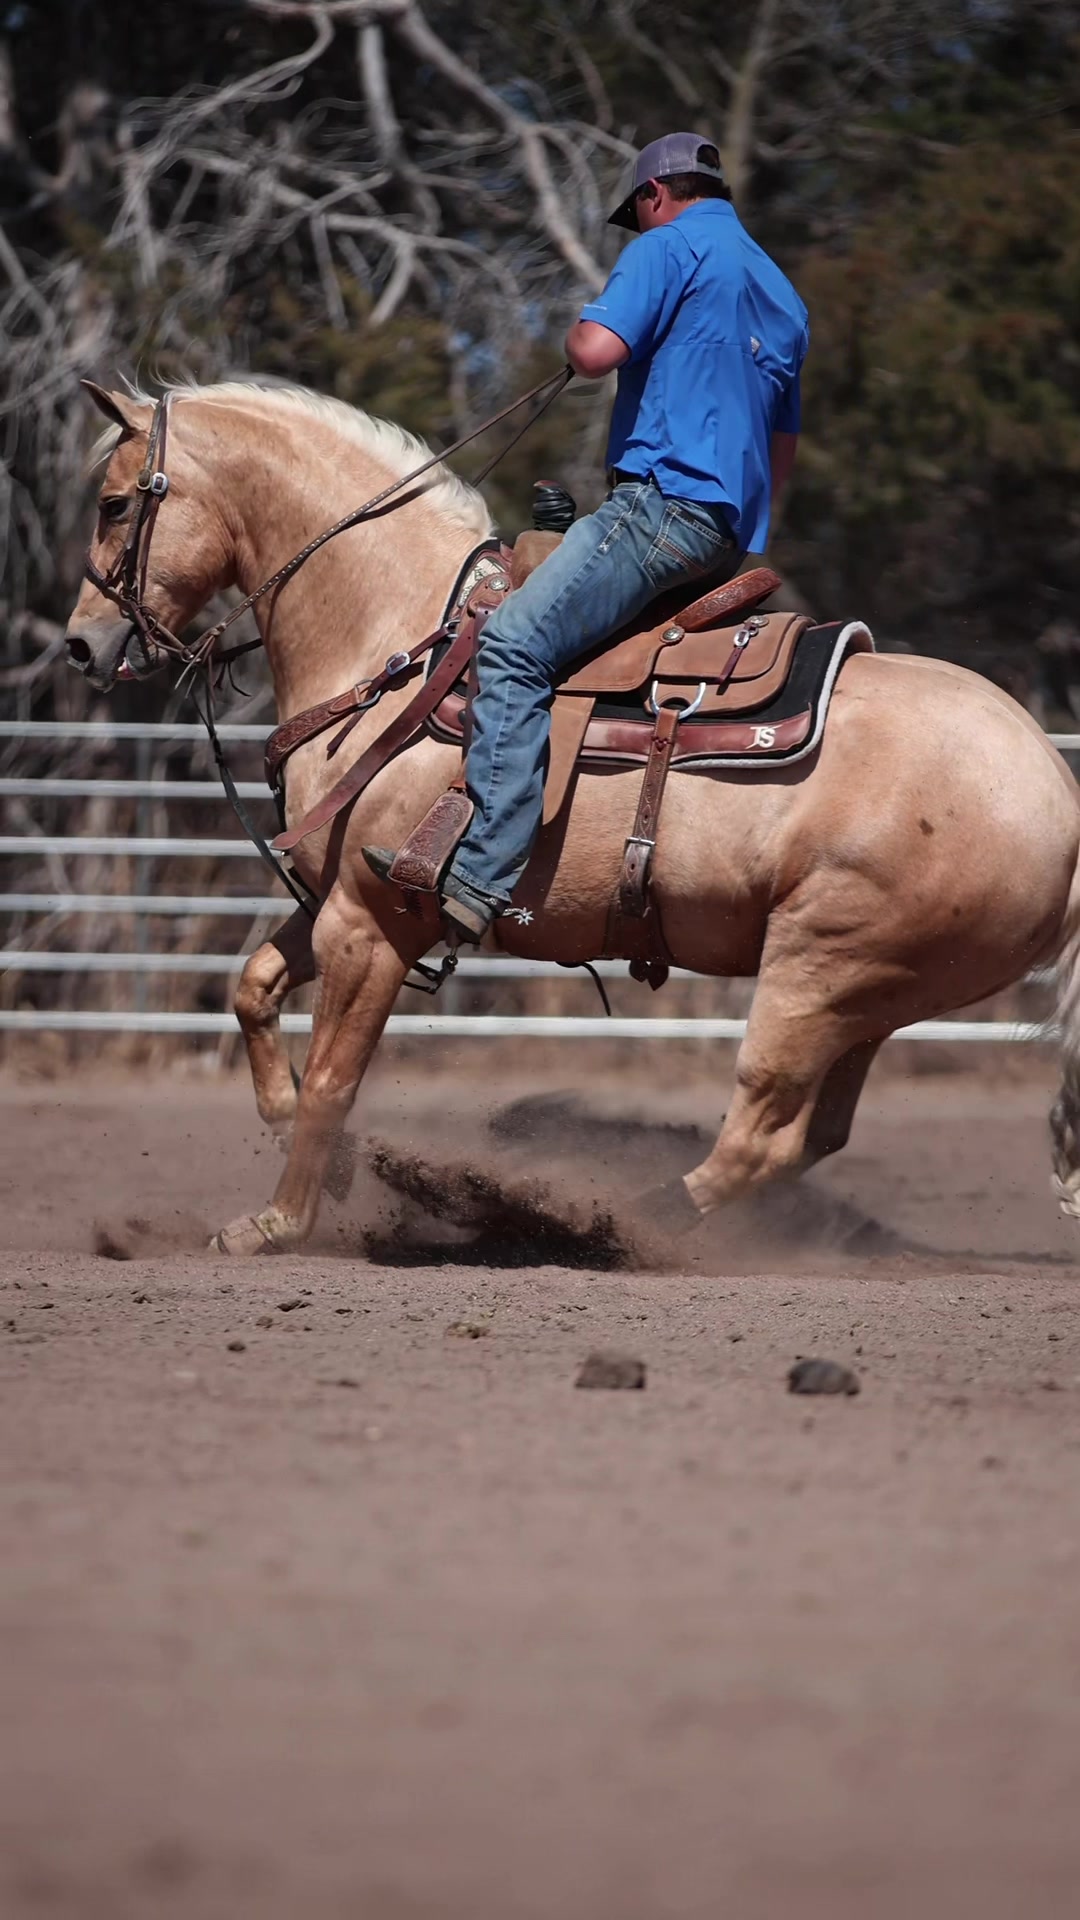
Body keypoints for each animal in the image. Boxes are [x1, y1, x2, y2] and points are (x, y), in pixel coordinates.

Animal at [64, 376, 1080, 1257]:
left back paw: (617, 1226)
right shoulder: (339, 902)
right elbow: (252, 990)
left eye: (114, 504)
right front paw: (324, 1165)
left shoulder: (371, 923)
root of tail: (1059, 796)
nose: (80, 644)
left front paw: (277, 1224)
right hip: (871, 1000)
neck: (396, 638)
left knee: (761, 1128)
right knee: (808, 1139)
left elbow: (331, 1082)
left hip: (819, 969)